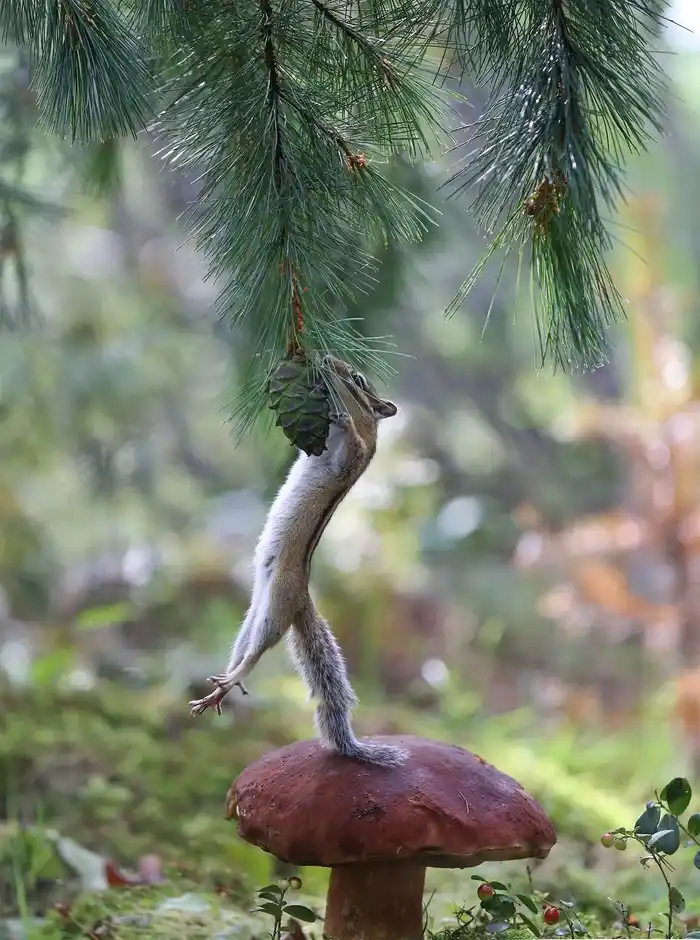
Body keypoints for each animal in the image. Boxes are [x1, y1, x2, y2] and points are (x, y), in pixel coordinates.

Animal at [189, 355, 408, 768]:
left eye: (358, 378)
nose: (327, 359)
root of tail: (303, 598)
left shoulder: (355, 455)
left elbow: (351, 443)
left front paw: (341, 415)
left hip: (275, 608)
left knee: (258, 652)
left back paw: (234, 678)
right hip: (253, 613)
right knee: (243, 651)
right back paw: (225, 683)